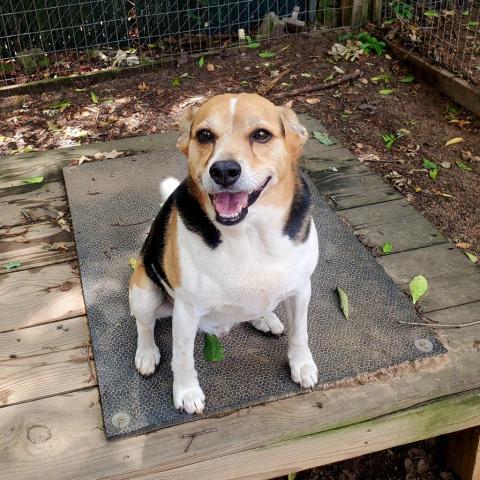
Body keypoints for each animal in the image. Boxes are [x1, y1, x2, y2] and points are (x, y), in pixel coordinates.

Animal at [129, 93, 320, 412]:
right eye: (205, 135)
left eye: (261, 135)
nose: (224, 171)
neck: (249, 234)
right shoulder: (186, 311)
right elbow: (182, 358)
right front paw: (186, 392)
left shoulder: (301, 289)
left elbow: (300, 332)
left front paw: (302, 364)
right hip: (143, 290)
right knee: (144, 325)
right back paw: (146, 353)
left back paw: (265, 318)